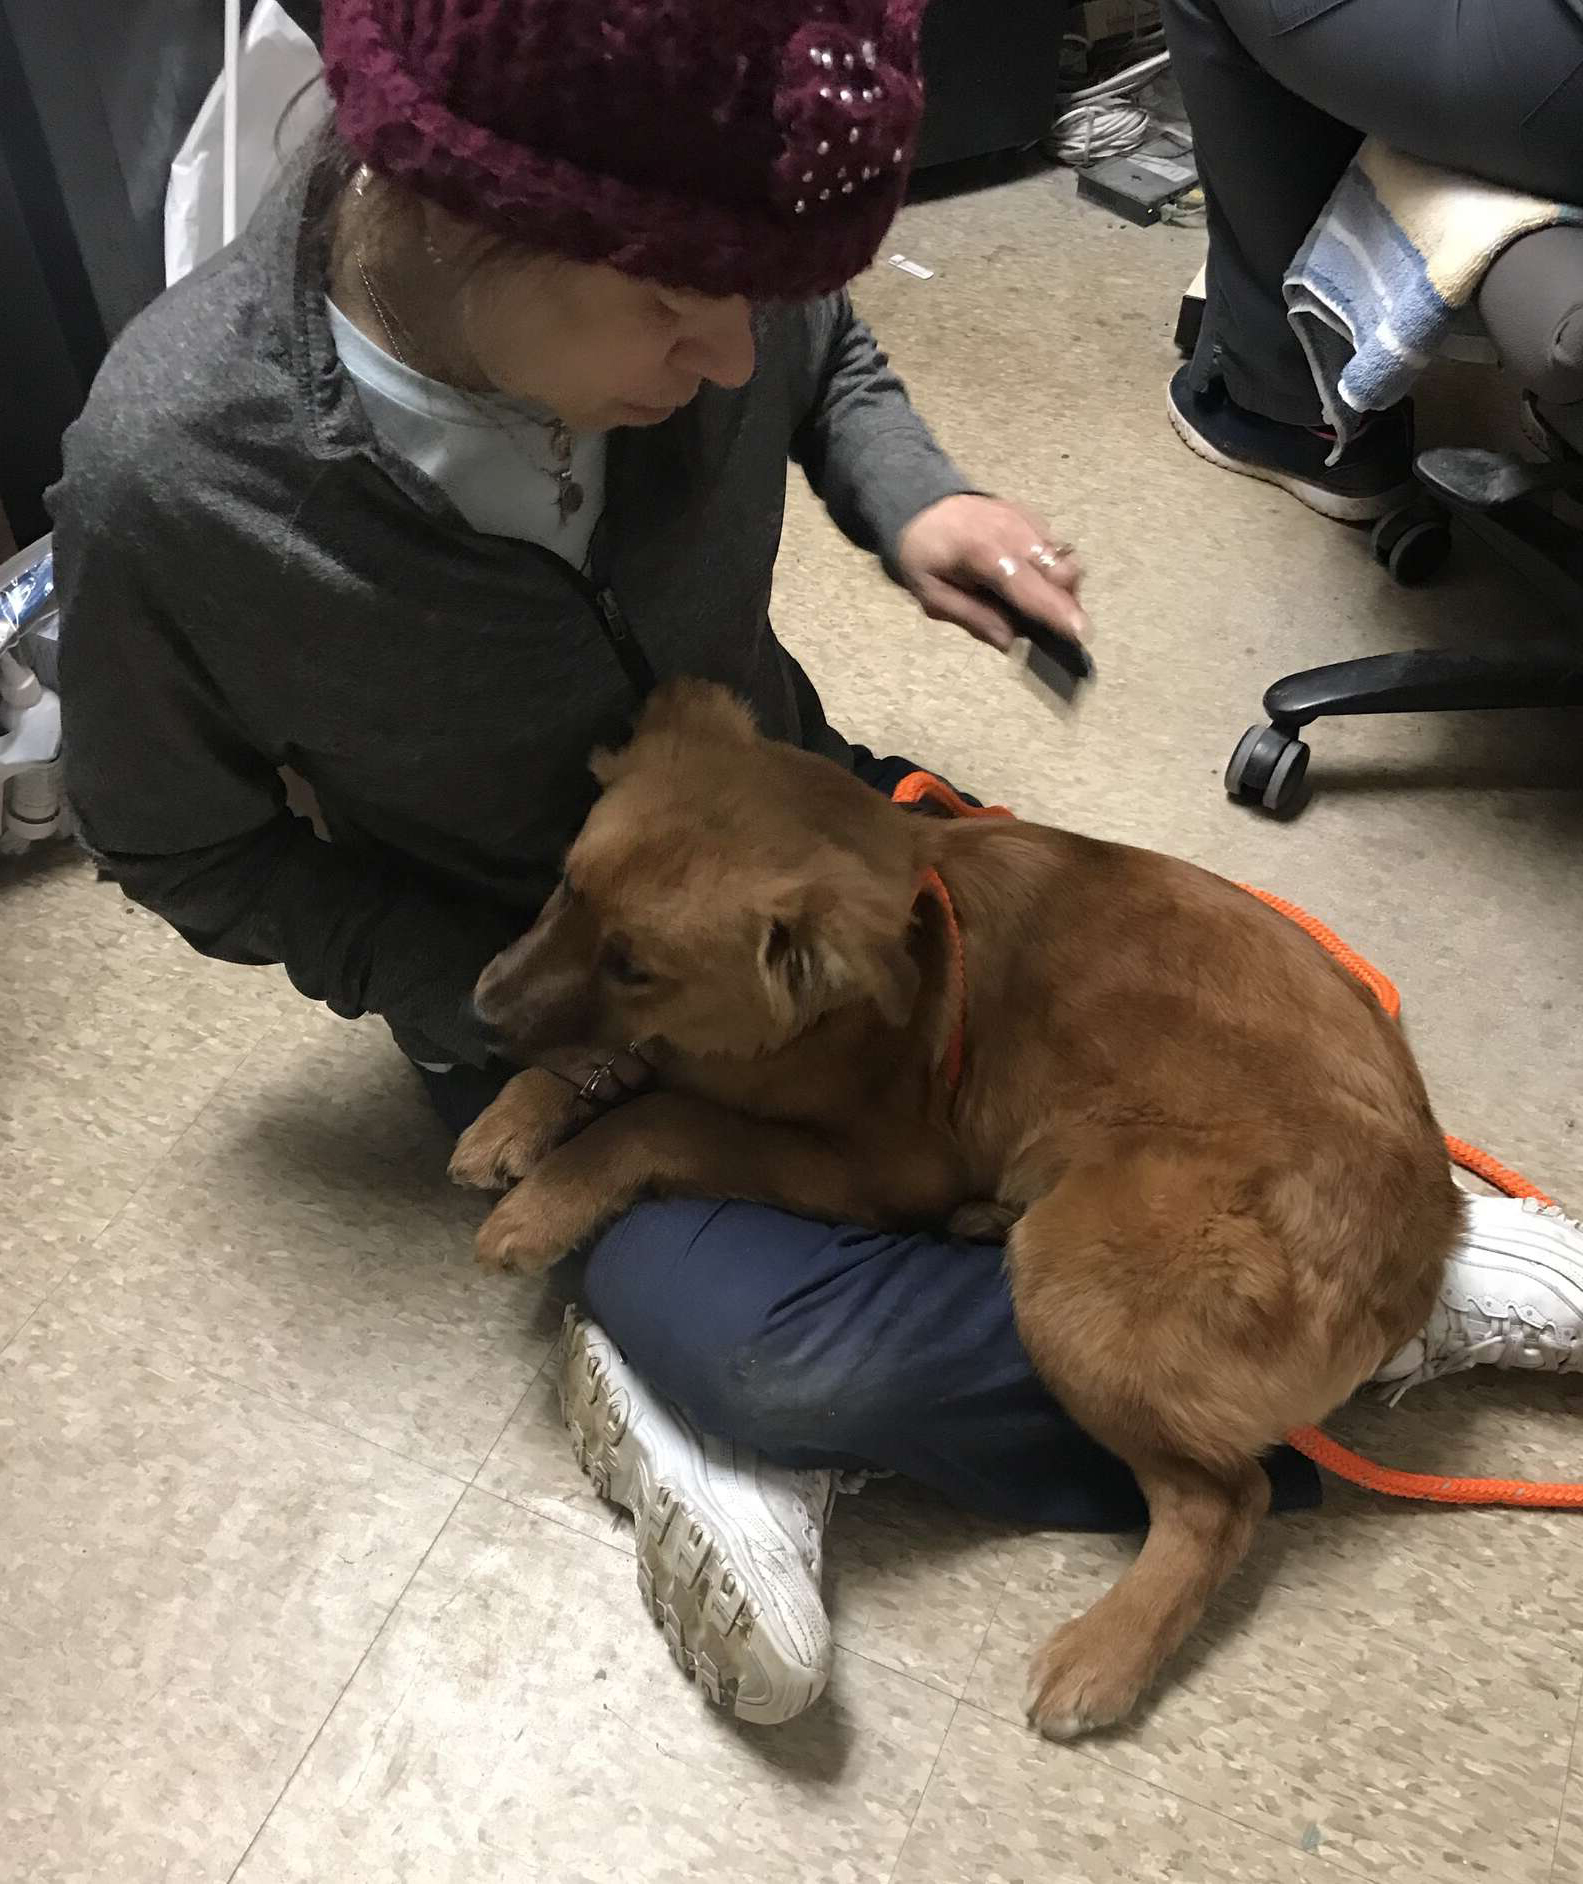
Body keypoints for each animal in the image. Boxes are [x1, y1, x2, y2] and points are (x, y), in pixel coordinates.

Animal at [450, 679, 1461, 1737]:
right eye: (567, 887)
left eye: (633, 964)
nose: (474, 1017)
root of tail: (1429, 1247)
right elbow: (624, 1068)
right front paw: (514, 1115)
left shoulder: (881, 1168)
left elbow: (660, 1115)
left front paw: (544, 1200)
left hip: (1073, 1283)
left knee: (1226, 1498)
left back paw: (1104, 1655)